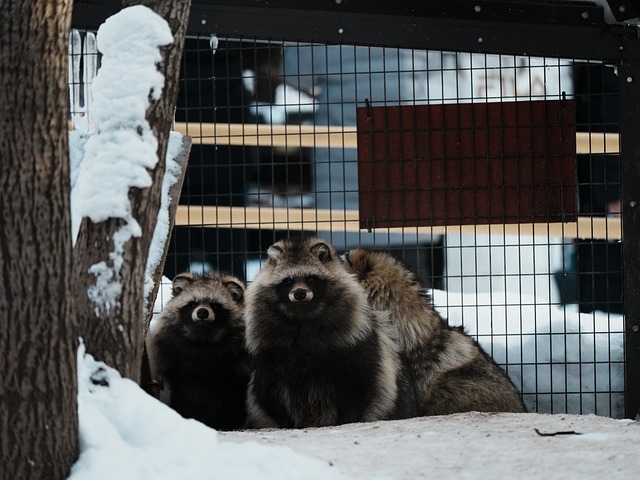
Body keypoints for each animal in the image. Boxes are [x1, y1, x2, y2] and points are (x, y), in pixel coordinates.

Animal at [150, 272, 252, 430]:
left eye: (216, 305)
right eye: (193, 303)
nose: (202, 312)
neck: (203, 340)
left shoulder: (236, 366)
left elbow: (231, 397)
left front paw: (227, 422)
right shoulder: (176, 362)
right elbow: (186, 393)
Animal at [244, 237, 401, 428]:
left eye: (311, 278)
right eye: (288, 281)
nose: (299, 293)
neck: (303, 316)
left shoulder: (353, 345)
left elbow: (357, 385)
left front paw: (349, 419)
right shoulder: (269, 349)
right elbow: (271, 392)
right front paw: (286, 422)